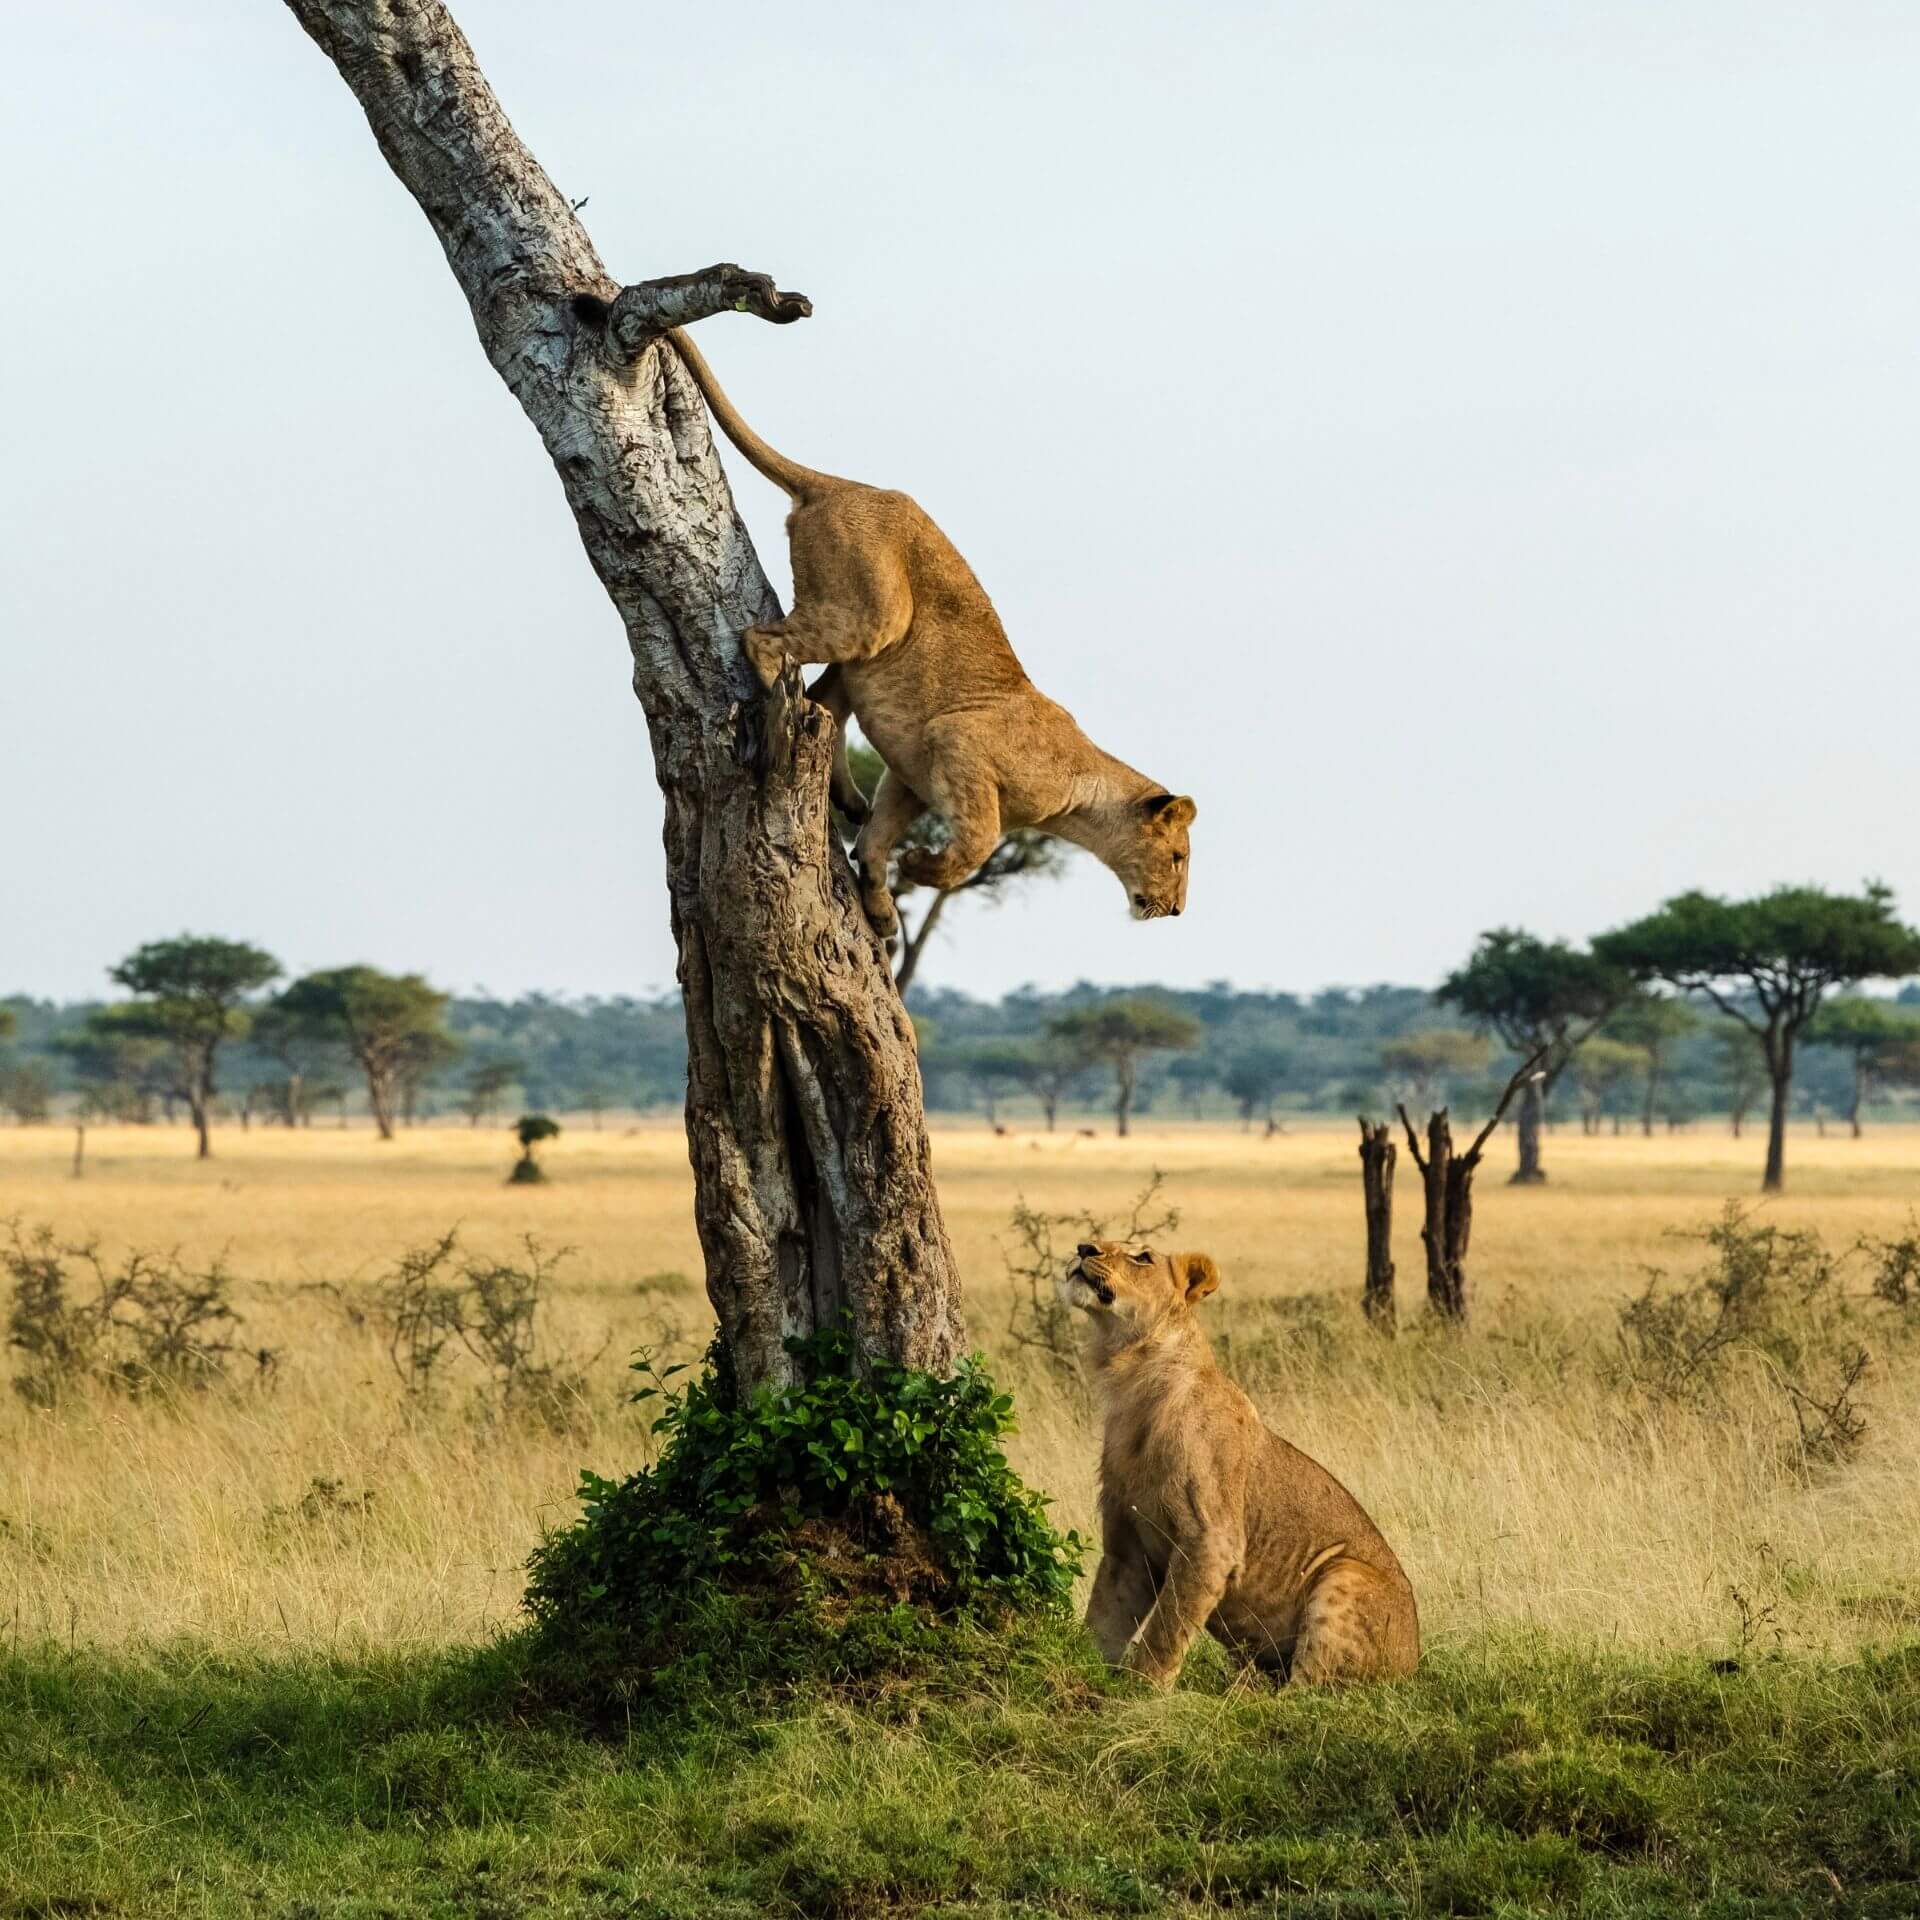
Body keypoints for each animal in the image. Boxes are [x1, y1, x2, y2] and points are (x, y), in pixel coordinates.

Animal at [1059, 1244, 1420, 1681]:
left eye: (1142, 1256)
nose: (1084, 1248)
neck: (1132, 1381)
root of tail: (1414, 1659)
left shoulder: (1211, 1539)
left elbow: (1165, 1629)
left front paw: (1141, 1688)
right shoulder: (1127, 1548)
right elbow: (1104, 1620)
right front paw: (1084, 1675)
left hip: (1344, 1573)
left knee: (1309, 1688)